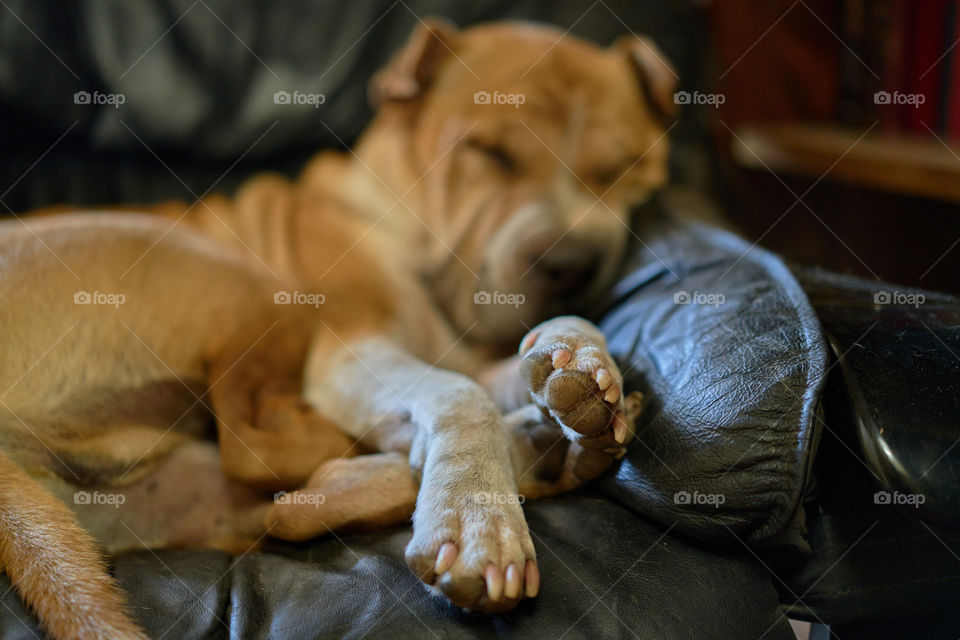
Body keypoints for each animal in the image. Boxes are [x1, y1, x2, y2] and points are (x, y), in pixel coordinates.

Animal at [0, 20, 676, 640]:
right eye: (489, 152)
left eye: (620, 169)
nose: (572, 263)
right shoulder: (353, 352)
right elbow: (460, 394)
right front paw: (476, 514)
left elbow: (529, 355)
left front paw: (582, 364)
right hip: (244, 285)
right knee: (255, 448)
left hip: (165, 497)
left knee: (286, 510)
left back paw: (537, 449)